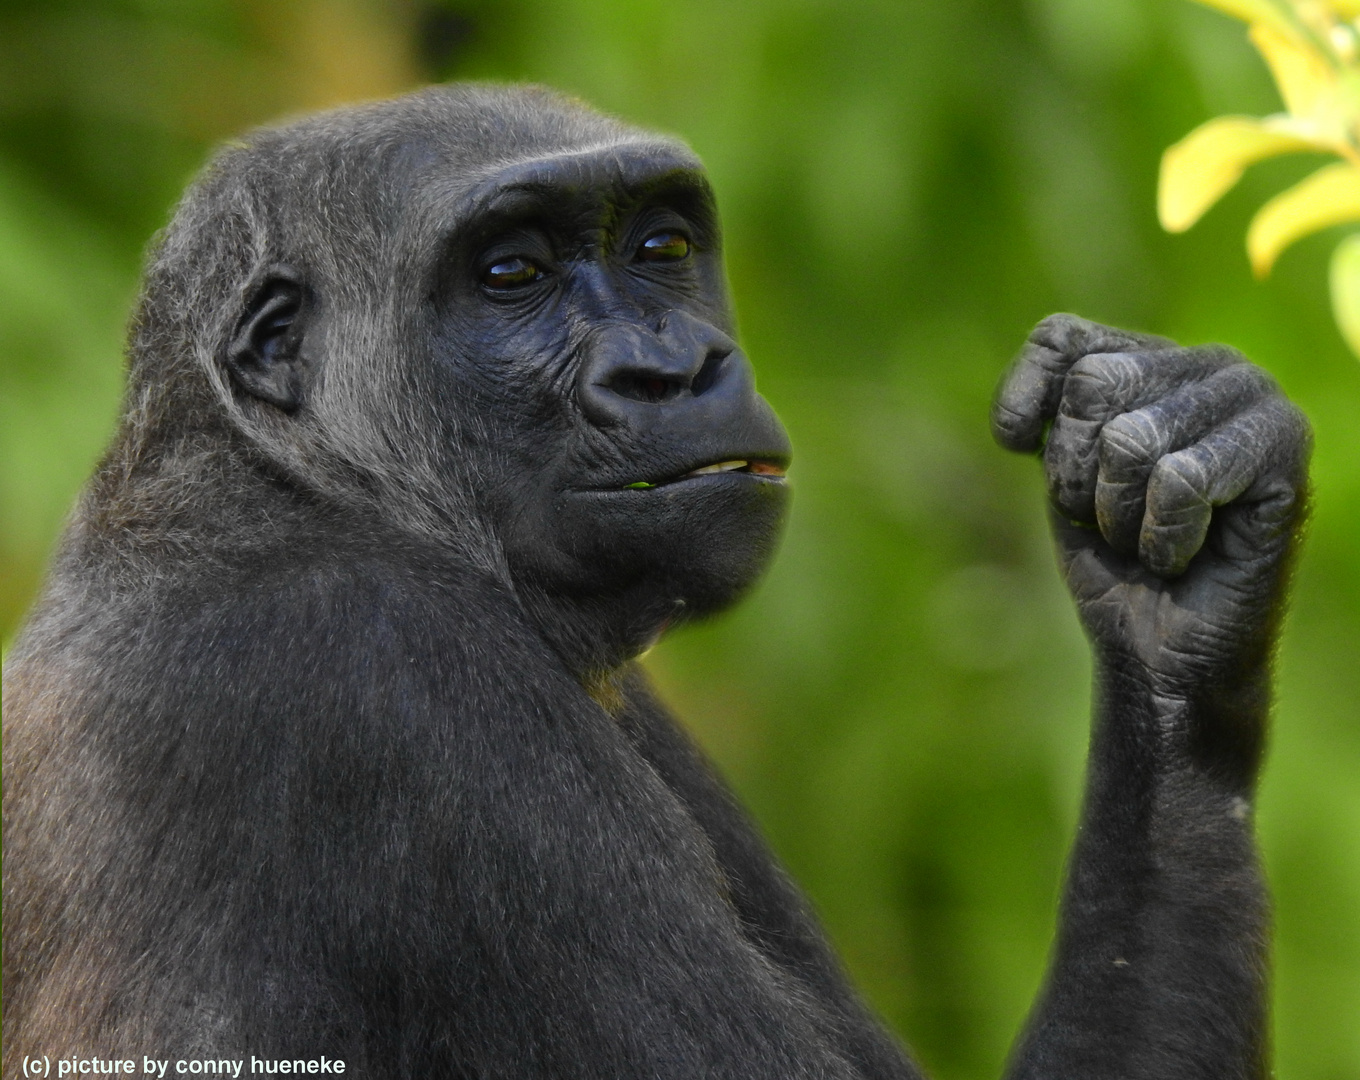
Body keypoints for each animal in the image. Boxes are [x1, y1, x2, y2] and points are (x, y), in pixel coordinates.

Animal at [5, 84, 1311, 1077]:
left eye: (662, 249)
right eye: (511, 274)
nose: (674, 369)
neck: (293, 478)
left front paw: (1182, 568)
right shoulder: (390, 680)